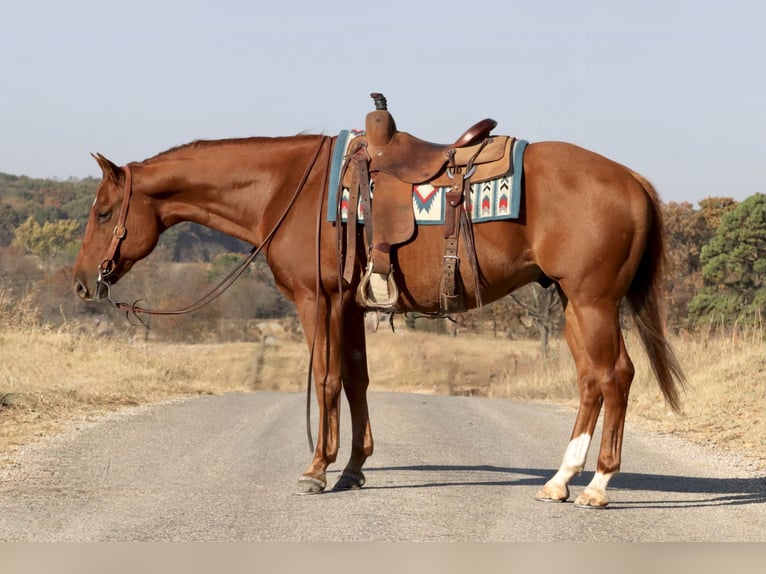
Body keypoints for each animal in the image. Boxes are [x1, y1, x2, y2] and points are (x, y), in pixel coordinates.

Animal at [70, 115, 684, 510]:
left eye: (102, 212)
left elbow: (325, 378)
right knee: (591, 382)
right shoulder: (350, 304)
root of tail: (632, 180)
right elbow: (356, 380)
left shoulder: (317, 300)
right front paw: (353, 468)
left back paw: (598, 486)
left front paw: (317, 470)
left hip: (594, 301)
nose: (80, 283)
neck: (289, 190)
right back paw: (560, 480)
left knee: (615, 377)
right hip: (572, 304)